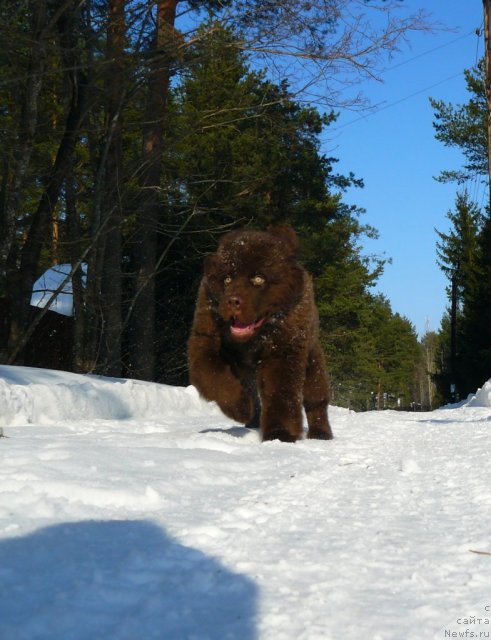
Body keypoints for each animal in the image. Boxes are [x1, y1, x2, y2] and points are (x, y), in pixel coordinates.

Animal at [188, 228, 334, 442]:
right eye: (227, 279)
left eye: (258, 279)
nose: (232, 301)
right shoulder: (204, 340)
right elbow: (213, 376)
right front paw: (240, 408)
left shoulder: (283, 350)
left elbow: (280, 394)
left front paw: (280, 434)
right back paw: (251, 419)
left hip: (313, 363)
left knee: (316, 402)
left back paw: (321, 434)